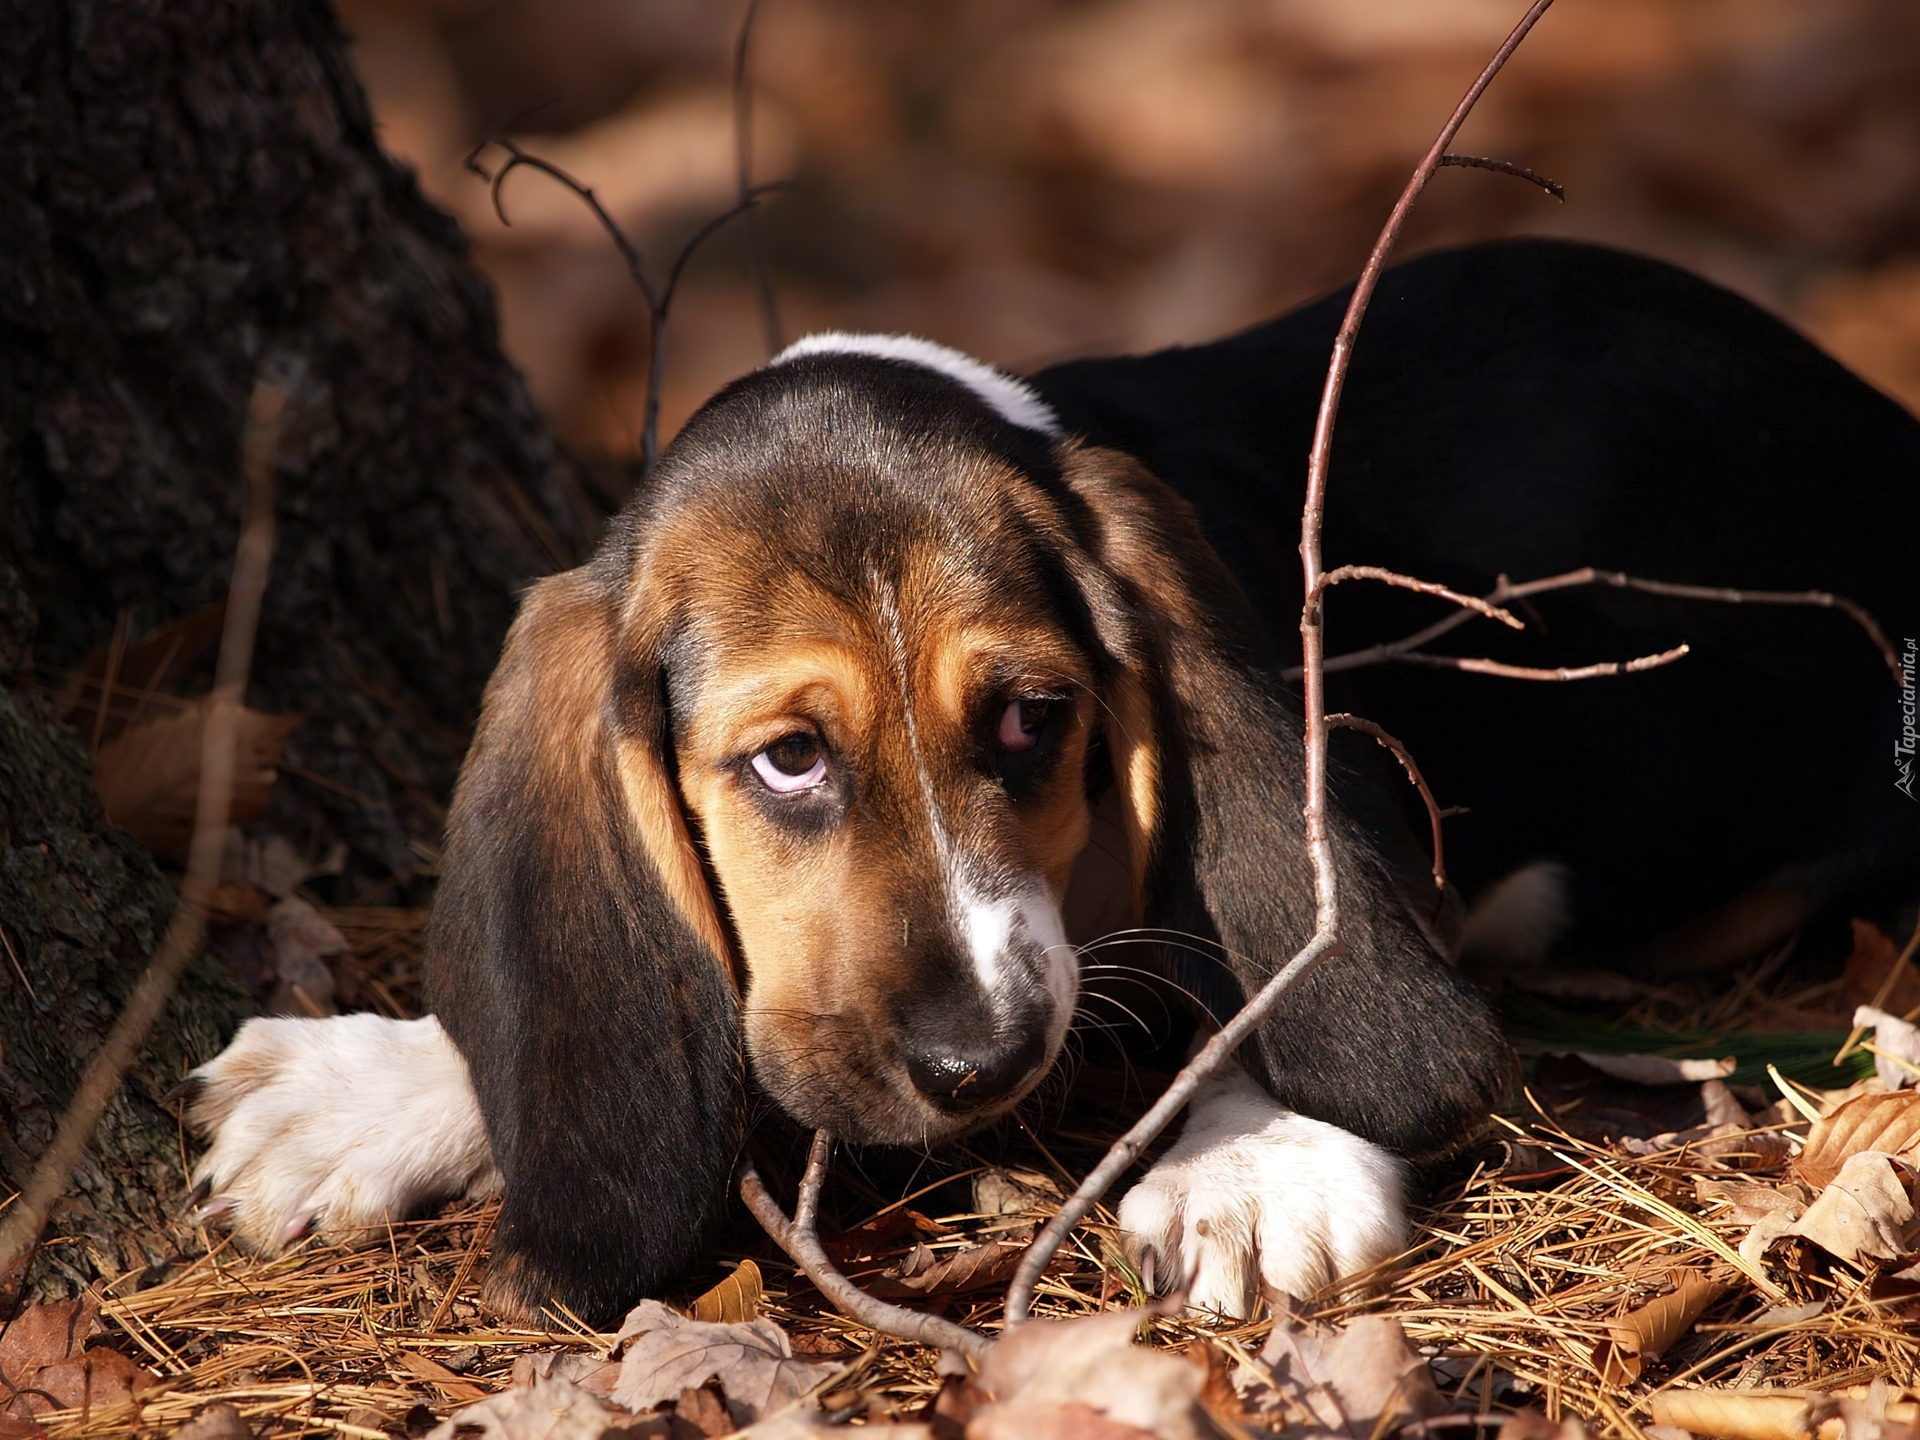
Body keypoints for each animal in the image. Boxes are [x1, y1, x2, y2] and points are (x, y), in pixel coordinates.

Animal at [183, 237, 1920, 1328]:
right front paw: (371, 1090)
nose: (981, 1061)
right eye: (788, 758)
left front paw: (1255, 1161)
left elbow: (1274, 953)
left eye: (1031, 719)